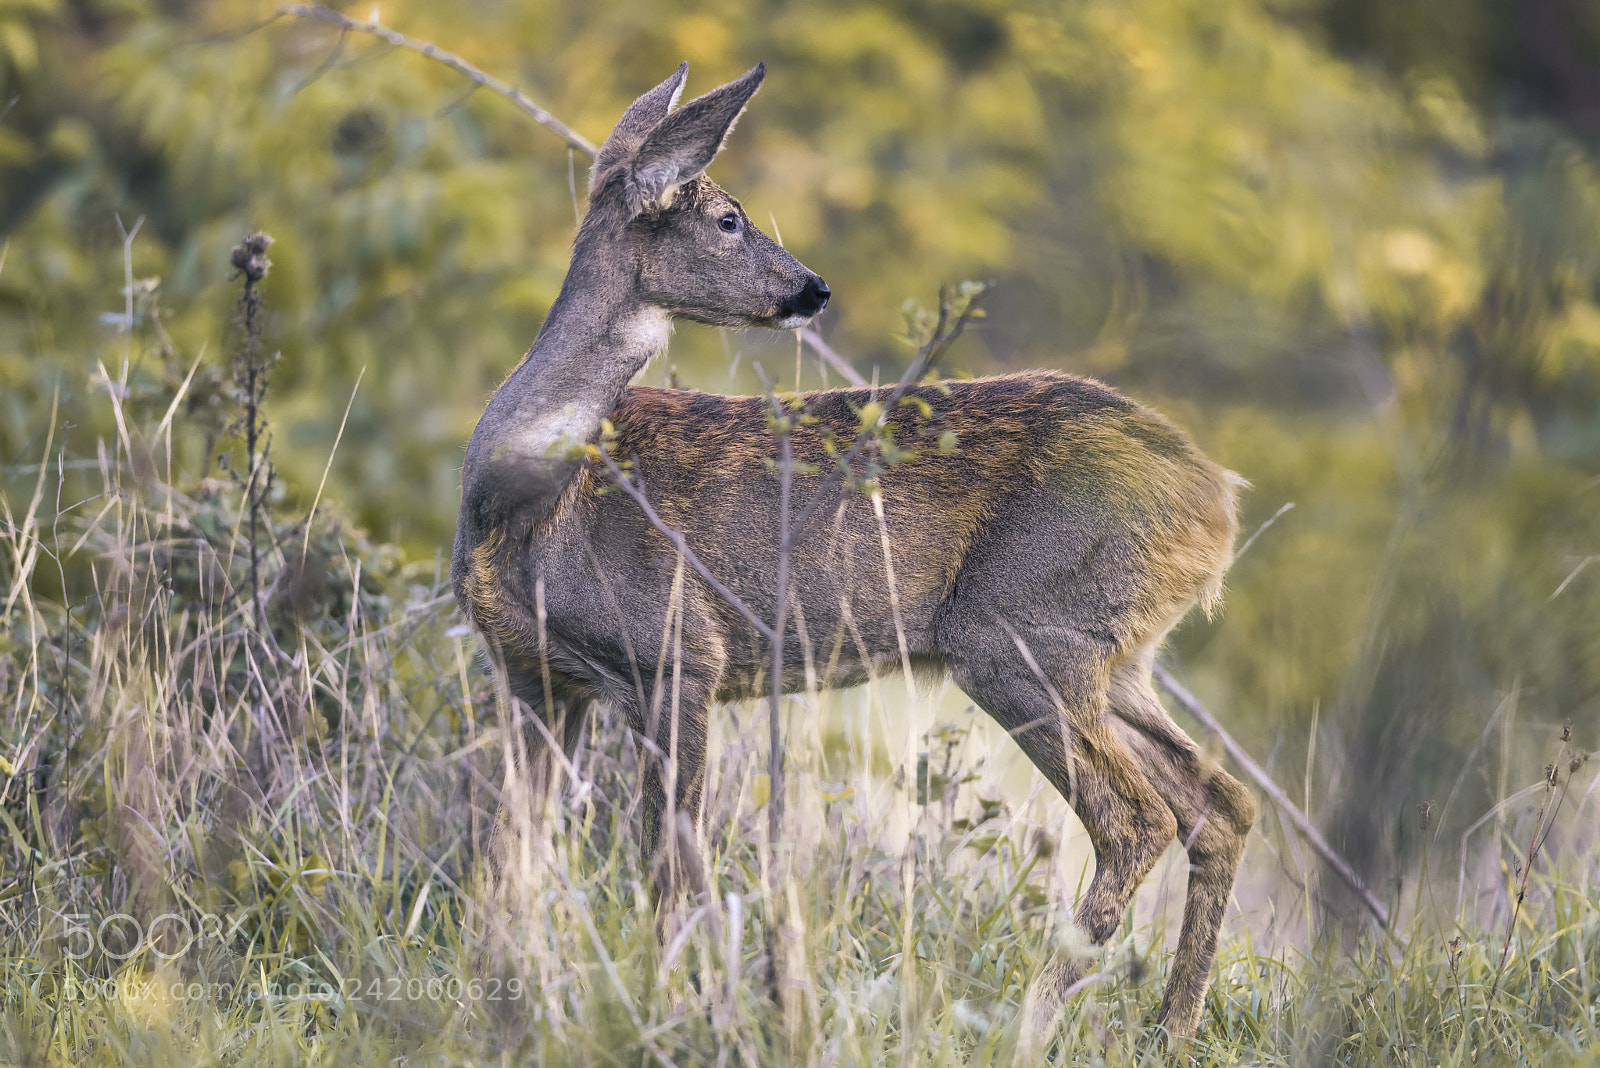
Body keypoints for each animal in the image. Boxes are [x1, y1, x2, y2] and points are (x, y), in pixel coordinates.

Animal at [452, 61, 1257, 1042]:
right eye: (729, 218)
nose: (813, 287)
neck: (528, 502)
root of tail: (1218, 498)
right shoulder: (534, 673)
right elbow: (509, 855)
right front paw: (499, 997)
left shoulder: (679, 653)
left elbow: (671, 867)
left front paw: (678, 1010)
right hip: (1116, 656)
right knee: (1218, 803)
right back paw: (1170, 1027)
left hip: (1022, 632)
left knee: (1138, 819)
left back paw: (1026, 1026)